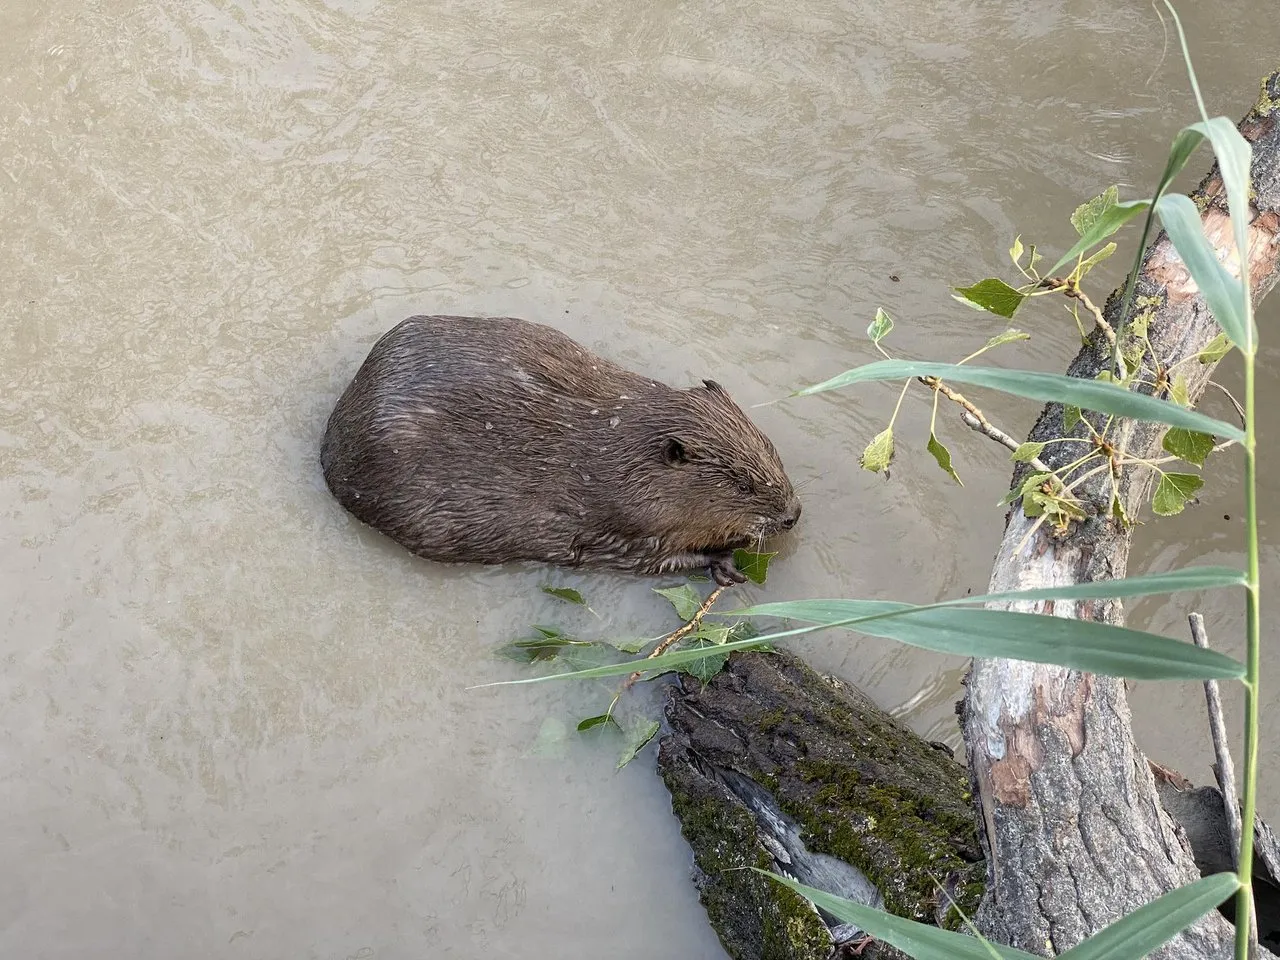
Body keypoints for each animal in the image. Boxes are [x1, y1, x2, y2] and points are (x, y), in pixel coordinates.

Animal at [322, 316, 798, 586]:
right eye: (743, 484)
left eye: (772, 450)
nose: (792, 515)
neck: (624, 456)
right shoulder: (616, 527)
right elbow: (653, 560)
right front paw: (726, 564)